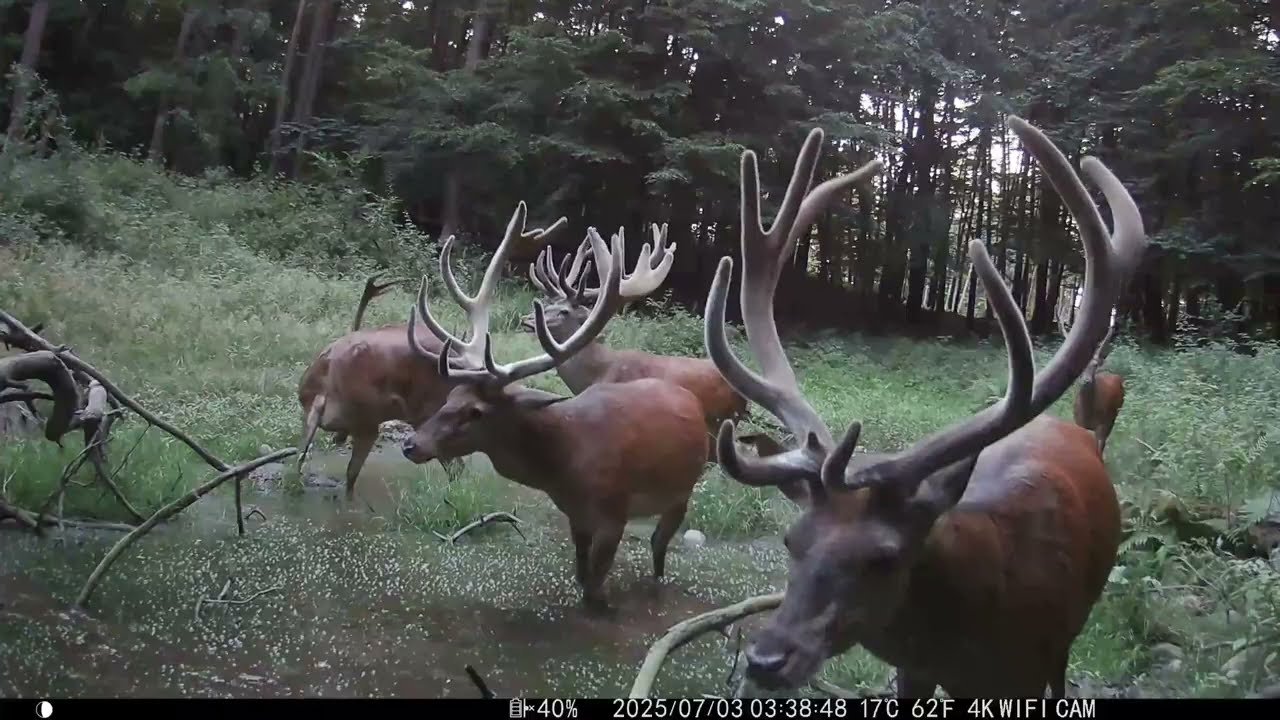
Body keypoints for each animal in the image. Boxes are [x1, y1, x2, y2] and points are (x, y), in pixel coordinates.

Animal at [398, 201, 710, 613]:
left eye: (475, 412)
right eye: (450, 399)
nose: (411, 444)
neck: (567, 462)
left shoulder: (614, 510)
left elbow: (594, 588)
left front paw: (603, 607)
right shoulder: (575, 515)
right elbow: (580, 574)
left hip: (682, 490)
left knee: (660, 544)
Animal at [701, 115, 1147, 698]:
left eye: (883, 557)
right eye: (790, 539)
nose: (764, 659)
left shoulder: (1032, 667)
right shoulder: (914, 671)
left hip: (1069, 637)